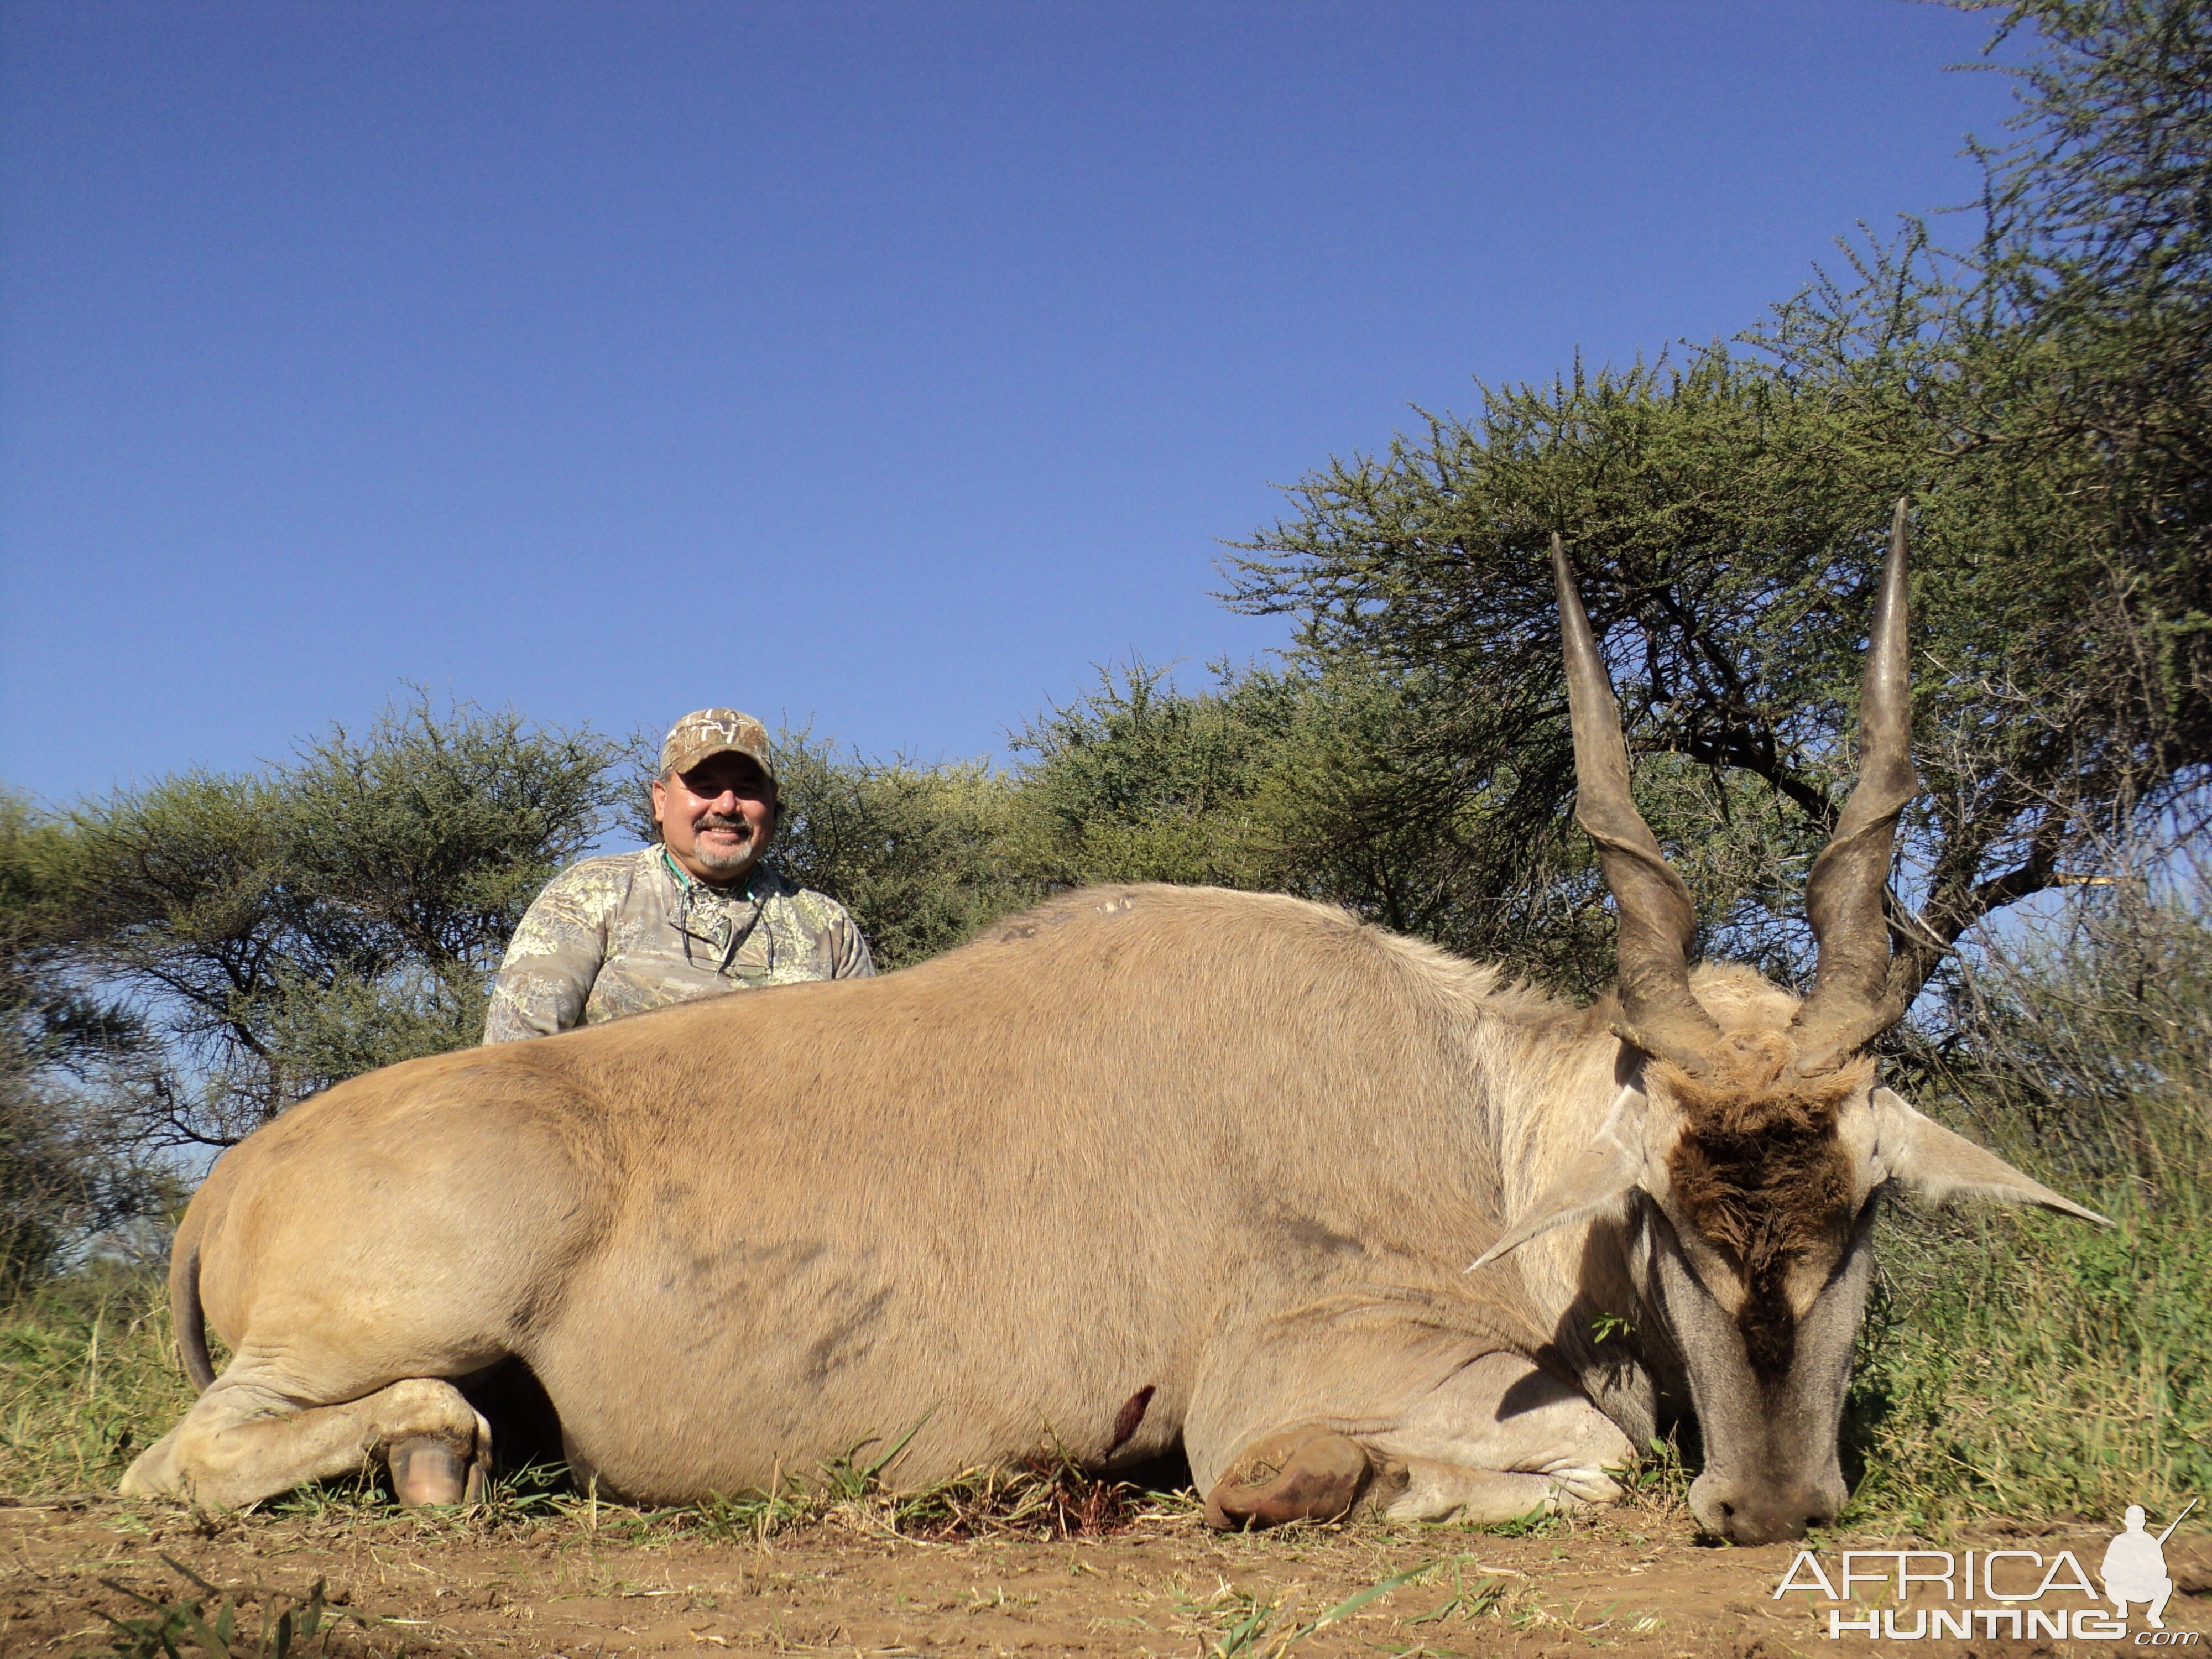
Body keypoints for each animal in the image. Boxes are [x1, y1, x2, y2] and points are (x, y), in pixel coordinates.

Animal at [126, 507, 2106, 1548]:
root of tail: (230, 1181)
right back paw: (430, 1451)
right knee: (197, 1456)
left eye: (1860, 1207)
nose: (1775, 1505)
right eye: (1671, 1221)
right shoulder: (1294, 1380)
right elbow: (1558, 1459)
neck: (1467, 1108)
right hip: (397, 1321)